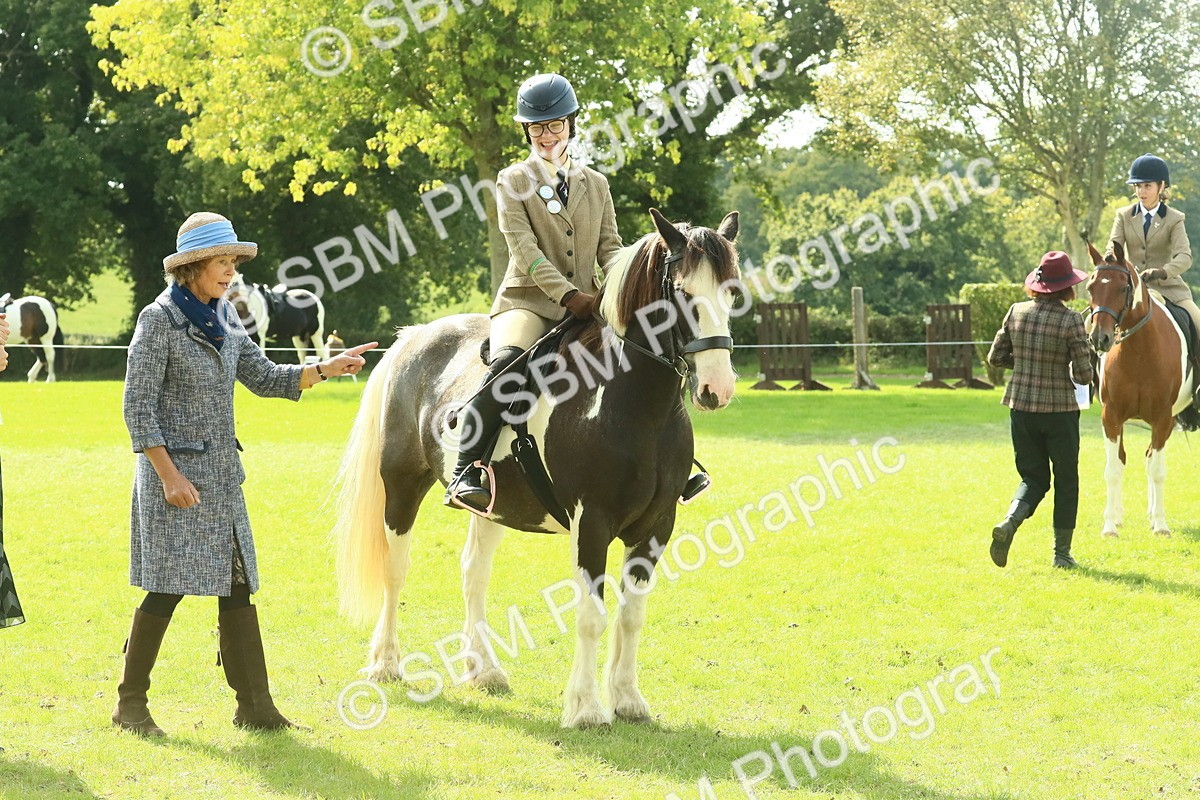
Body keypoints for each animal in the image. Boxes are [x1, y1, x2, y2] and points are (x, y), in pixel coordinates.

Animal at [334, 208, 741, 728]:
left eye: (731, 292)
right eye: (685, 292)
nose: (717, 388)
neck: (634, 404)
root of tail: (415, 338)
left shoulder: (656, 525)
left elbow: (631, 614)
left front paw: (628, 700)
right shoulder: (592, 522)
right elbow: (591, 614)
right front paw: (586, 708)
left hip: (492, 504)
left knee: (474, 572)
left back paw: (484, 670)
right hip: (401, 486)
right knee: (396, 569)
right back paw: (385, 663)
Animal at [1085, 241, 1198, 537]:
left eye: (1122, 288)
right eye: (1090, 287)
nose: (1099, 339)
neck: (1139, 350)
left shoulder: (1163, 417)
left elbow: (1157, 470)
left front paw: (1160, 525)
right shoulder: (1111, 417)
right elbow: (1113, 468)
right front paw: (1109, 526)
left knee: (1150, 460)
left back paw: (1152, 516)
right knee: (1126, 458)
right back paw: (1118, 516)